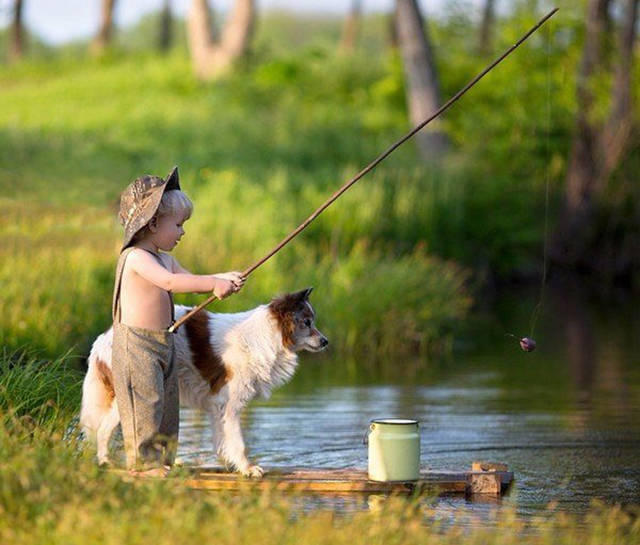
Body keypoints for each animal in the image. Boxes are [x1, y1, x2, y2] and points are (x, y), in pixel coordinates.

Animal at [80, 288, 328, 476]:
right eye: (307, 322)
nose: (325, 341)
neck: (267, 336)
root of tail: (102, 339)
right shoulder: (230, 404)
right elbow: (238, 442)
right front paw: (247, 468)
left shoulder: (218, 405)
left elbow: (222, 438)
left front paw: (229, 464)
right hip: (128, 395)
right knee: (103, 430)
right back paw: (106, 462)